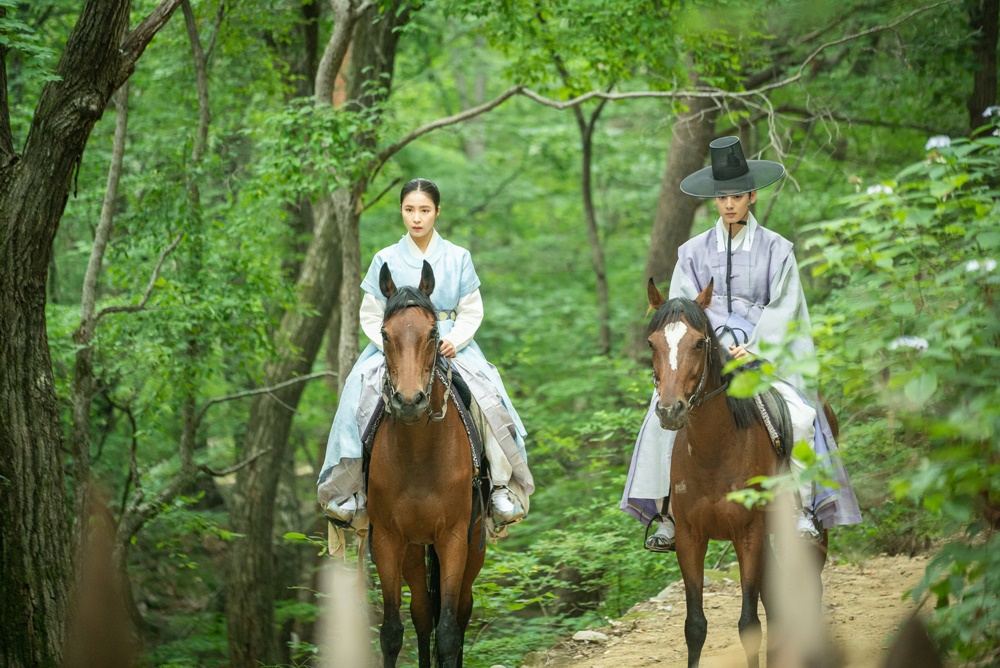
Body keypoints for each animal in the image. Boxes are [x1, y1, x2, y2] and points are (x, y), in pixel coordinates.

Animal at [372, 260, 488, 668]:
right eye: (385, 334)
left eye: (434, 331)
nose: (409, 402)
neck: (419, 457)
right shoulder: (387, 540)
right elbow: (393, 631)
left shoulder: (453, 538)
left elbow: (449, 631)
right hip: (412, 550)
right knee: (422, 613)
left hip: (474, 545)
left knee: (462, 611)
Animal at [644, 278, 824, 668]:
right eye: (652, 343)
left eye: (699, 342)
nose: (670, 410)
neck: (714, 452)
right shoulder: (690, 539)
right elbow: (695, 626)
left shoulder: (748, 534)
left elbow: (749, 625)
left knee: (811, 591)